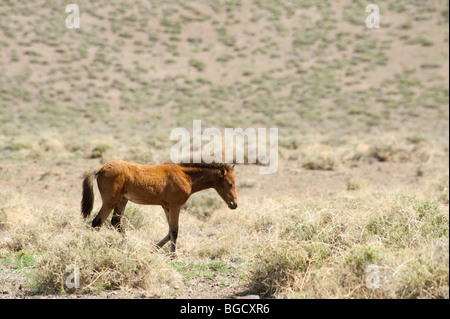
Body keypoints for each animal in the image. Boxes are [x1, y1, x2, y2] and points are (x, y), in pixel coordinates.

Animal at [80, 161, 237, 254]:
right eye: (230, 183)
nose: (234, 204)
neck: (185, 176)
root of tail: (100, 170)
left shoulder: (166, 207)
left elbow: (169, 231)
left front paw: (154, 248)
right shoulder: (175, 206)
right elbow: (174, 231)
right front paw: (173, 256)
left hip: (122, 201)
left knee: (116, 223)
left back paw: (131, 246)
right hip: (110, 201)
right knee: (97, 223)